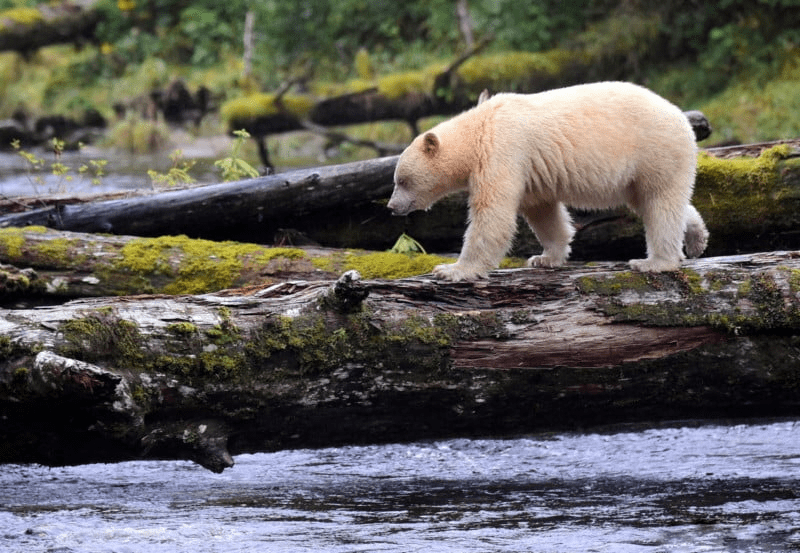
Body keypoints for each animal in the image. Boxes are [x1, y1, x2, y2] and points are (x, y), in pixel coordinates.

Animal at [386, 82, 708, 280]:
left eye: (402, 180)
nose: (391, 207)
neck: (479, 127)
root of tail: (681, 116)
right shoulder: (529, 170)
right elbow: (542, 211)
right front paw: (545, 258)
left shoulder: (502, 151)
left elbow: (492, 215)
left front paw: (452, 269)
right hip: (642, 169)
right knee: (655, 201)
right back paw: (696, 238)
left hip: (655, 150)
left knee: (659, 203)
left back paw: (655, 262)